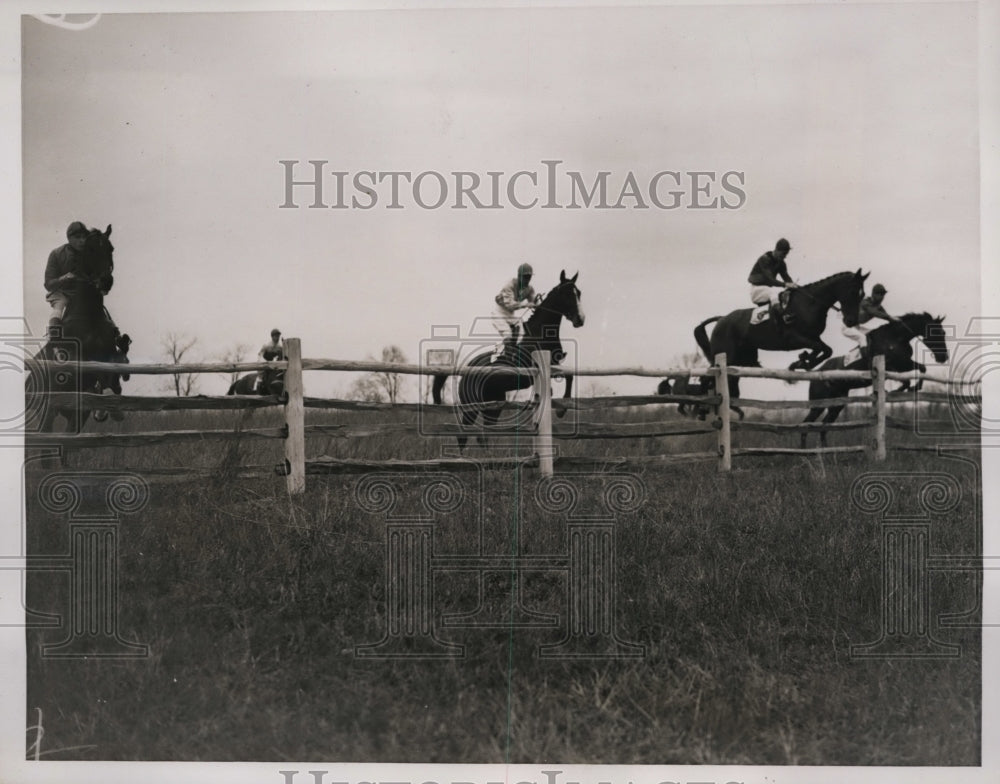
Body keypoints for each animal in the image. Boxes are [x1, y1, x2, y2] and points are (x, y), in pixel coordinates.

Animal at [430, 272, 584, 450]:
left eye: (579, 293)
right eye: (567, 295)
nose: (580, 319)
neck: (540, 332)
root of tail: (466, 369)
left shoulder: (553, 364)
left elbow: (569, 376)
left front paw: (561, 408)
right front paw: (560, 410)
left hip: (493, 404)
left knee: (484, 434)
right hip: (471, 405)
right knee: (463, 435)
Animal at [692, 268, 872, 404]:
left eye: (862, 295)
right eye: (853, 292)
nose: (851, 321)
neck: (809, 304)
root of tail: (721, 319)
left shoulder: (813, 337)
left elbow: (826, 350)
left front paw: (801, 361)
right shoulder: (793, 338)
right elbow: (820, 348)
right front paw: (802, 361)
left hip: (741, 358)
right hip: (726, 356)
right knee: (707, 378)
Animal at [800, 312, 948, 448]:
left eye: (944, 332)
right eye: (938, 332)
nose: (943, 357)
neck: (896, 338)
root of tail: (817, 372)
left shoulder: (904, 363)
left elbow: (922, 369)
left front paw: (911, 388)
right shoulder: (892, 365)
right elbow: (907, 379)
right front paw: (897, 390)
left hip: (836, 404)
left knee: (824, 426)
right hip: (818, 404)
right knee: (806, 424)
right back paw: (804, 451)